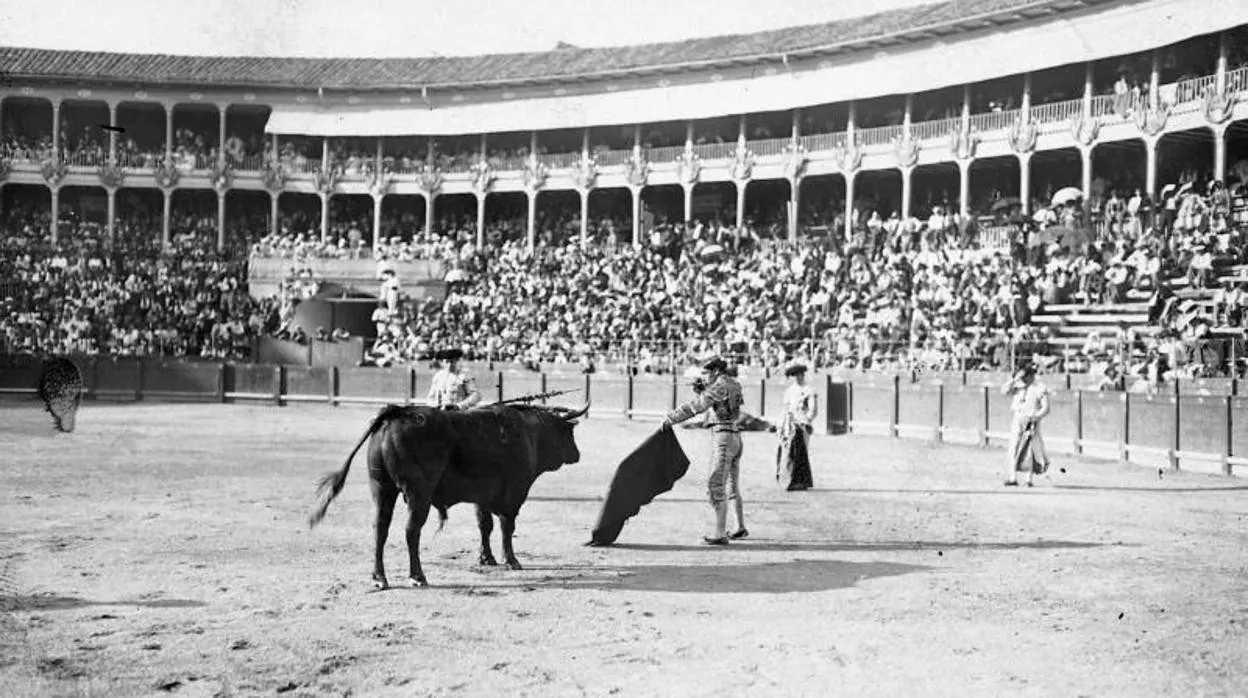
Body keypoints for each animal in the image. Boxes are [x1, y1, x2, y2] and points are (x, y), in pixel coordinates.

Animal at [309, 404, 586, 589]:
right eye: (569, 434)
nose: (577, 454)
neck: (529, 434)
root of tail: (397, 412)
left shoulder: (482, 497)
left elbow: (485, 526)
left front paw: (487, 559)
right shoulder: (514, 495)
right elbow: (507, 528)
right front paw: (511, 561)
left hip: (381, 488)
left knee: (380, 528)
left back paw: (380, 578)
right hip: (418, 494)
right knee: (412, 531)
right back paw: (418, 576)